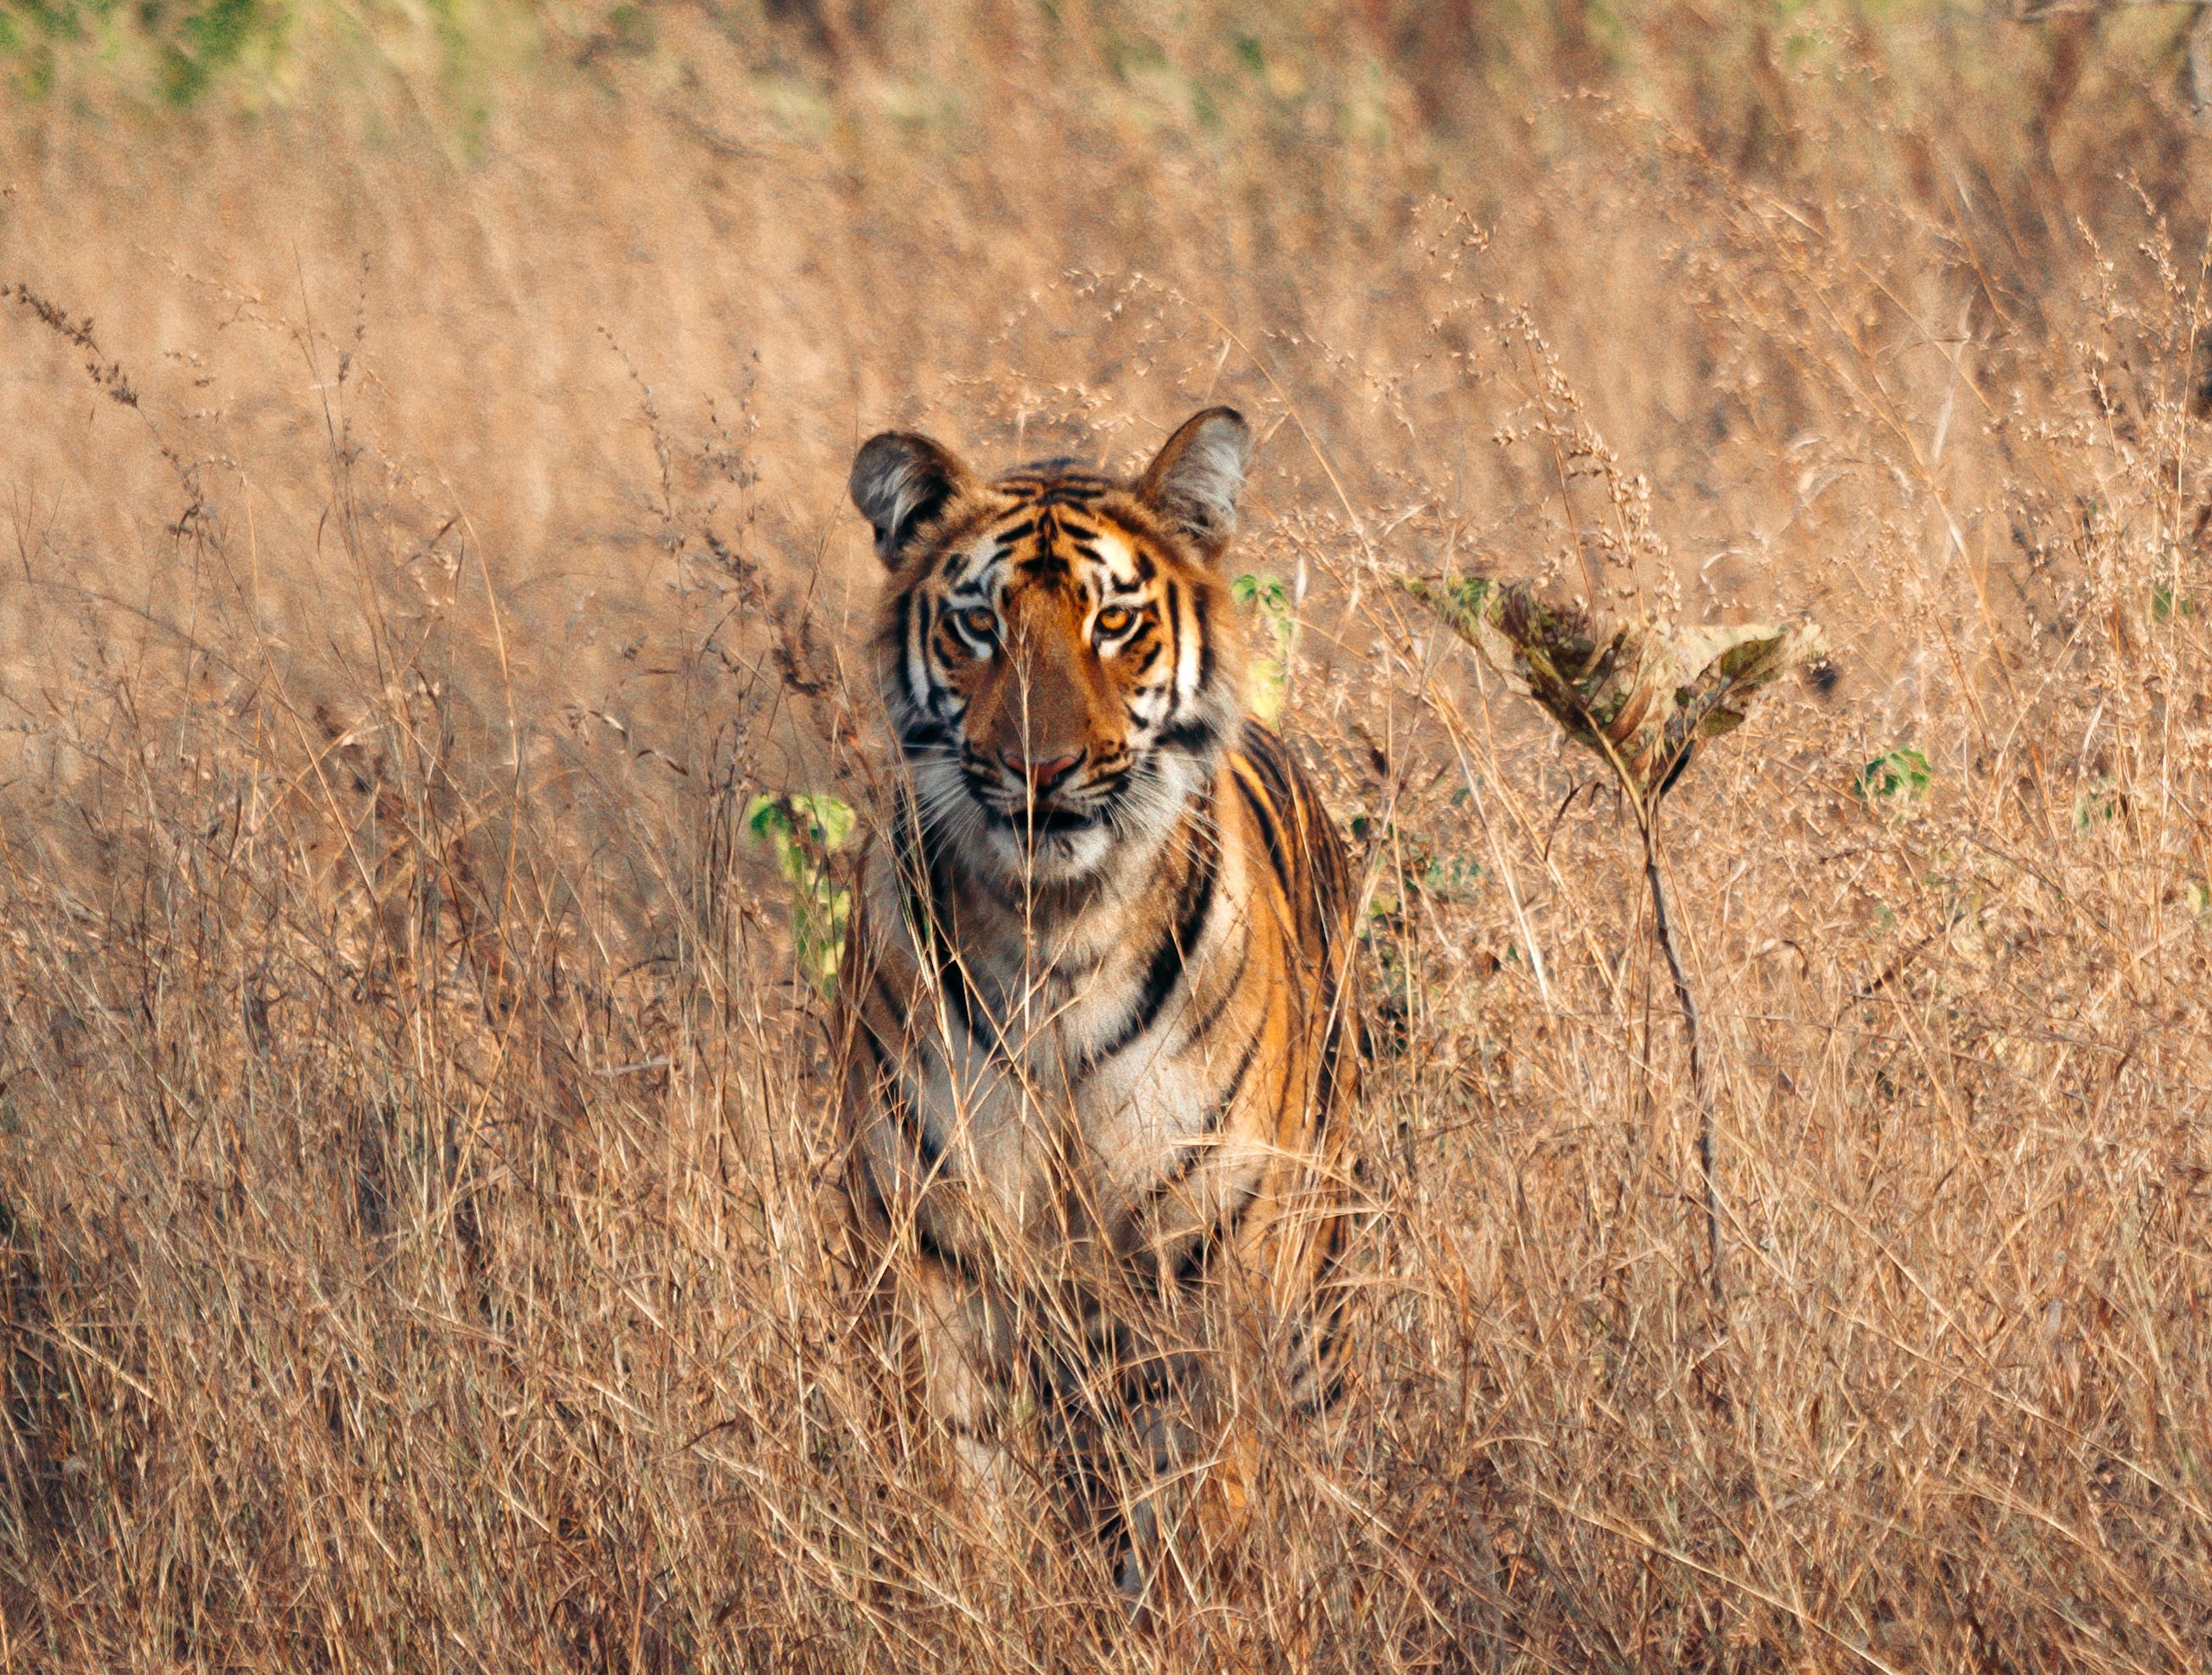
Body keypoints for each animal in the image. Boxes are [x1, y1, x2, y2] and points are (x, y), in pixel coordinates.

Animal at [838, 406, 1361, 1596]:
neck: (1056, 936)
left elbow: (1199, 1498)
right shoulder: (941, 1256)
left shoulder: (1207, 1261)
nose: (1040, 770)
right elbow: (966, 1483)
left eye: (1114, 621)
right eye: (977, 624)